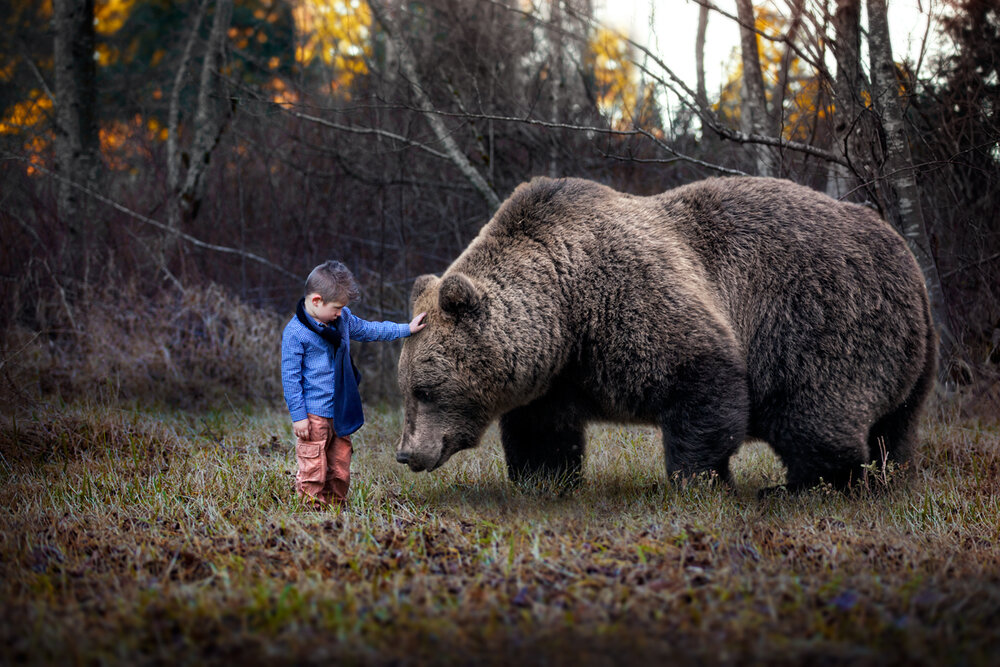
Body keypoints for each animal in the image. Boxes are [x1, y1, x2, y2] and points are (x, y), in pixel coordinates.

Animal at [392, 176, 936, 490]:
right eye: (408, 388)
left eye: (425, 388)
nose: (406, 453)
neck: (563, 312)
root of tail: (906, 255)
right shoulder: (555, 376)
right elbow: (543, 432)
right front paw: (543, 480)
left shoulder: (632, 300)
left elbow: (701, 384)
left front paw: (696, 480)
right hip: (913, 353)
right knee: (896, 424)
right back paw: (889, 472)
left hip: (818, 315)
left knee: (812, 411)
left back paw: (805, 485)